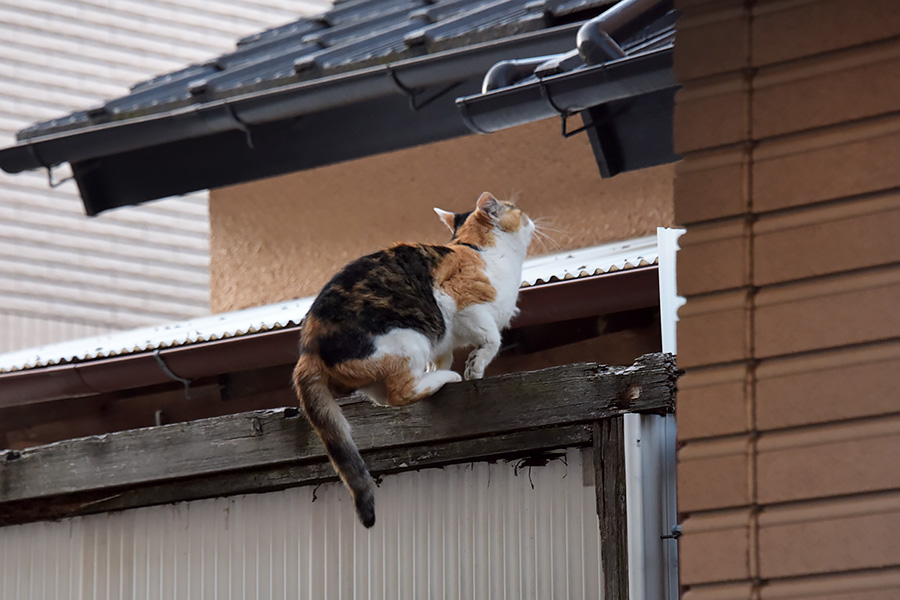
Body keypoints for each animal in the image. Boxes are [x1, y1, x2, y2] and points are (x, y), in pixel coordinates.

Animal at [294, 191, 536, 524]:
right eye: (517, 211)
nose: (532, 220)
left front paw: (455, 367)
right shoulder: (461, 301)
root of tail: (308, 350)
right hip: (408, 338)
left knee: (383, 397)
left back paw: (436, 377)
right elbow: (492, 338)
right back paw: (446, 379)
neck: (480, 250)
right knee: (399, 393)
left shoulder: (443, 340)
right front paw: (474, 367)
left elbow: (445, 354)